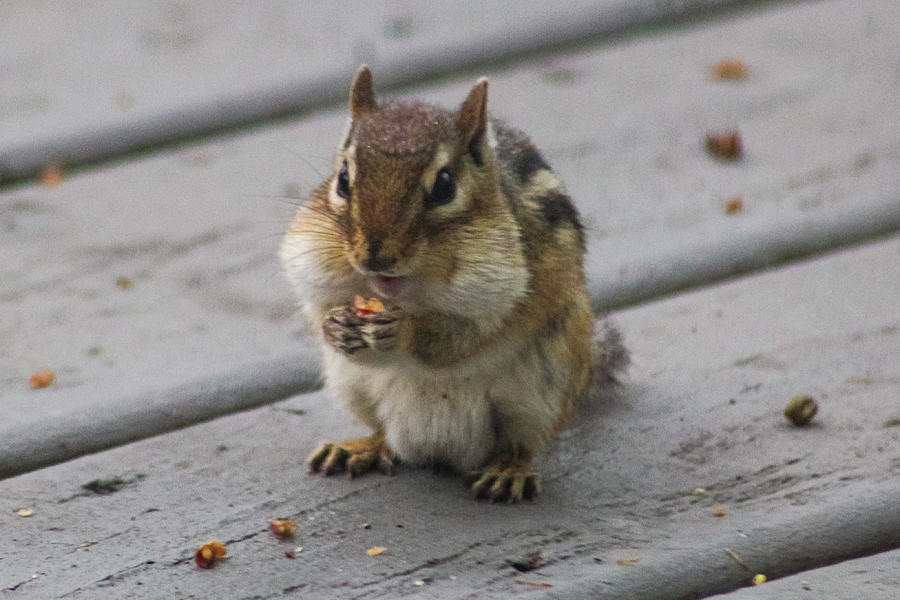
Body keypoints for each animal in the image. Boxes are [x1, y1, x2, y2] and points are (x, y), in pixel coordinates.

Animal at [280, 65, 628, 503]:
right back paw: (360, 447)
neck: (408, 293)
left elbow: (461, 337)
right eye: (343, 178)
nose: (374, 257)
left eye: (445, 185)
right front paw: (335, 325)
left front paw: (404, 330)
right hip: (352, 386)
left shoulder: (502, 289)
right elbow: (316, 310)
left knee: (522, 442)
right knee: (383, 433)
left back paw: (508, 471)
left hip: (544, 391)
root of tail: (437, 445)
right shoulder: (310, 266)